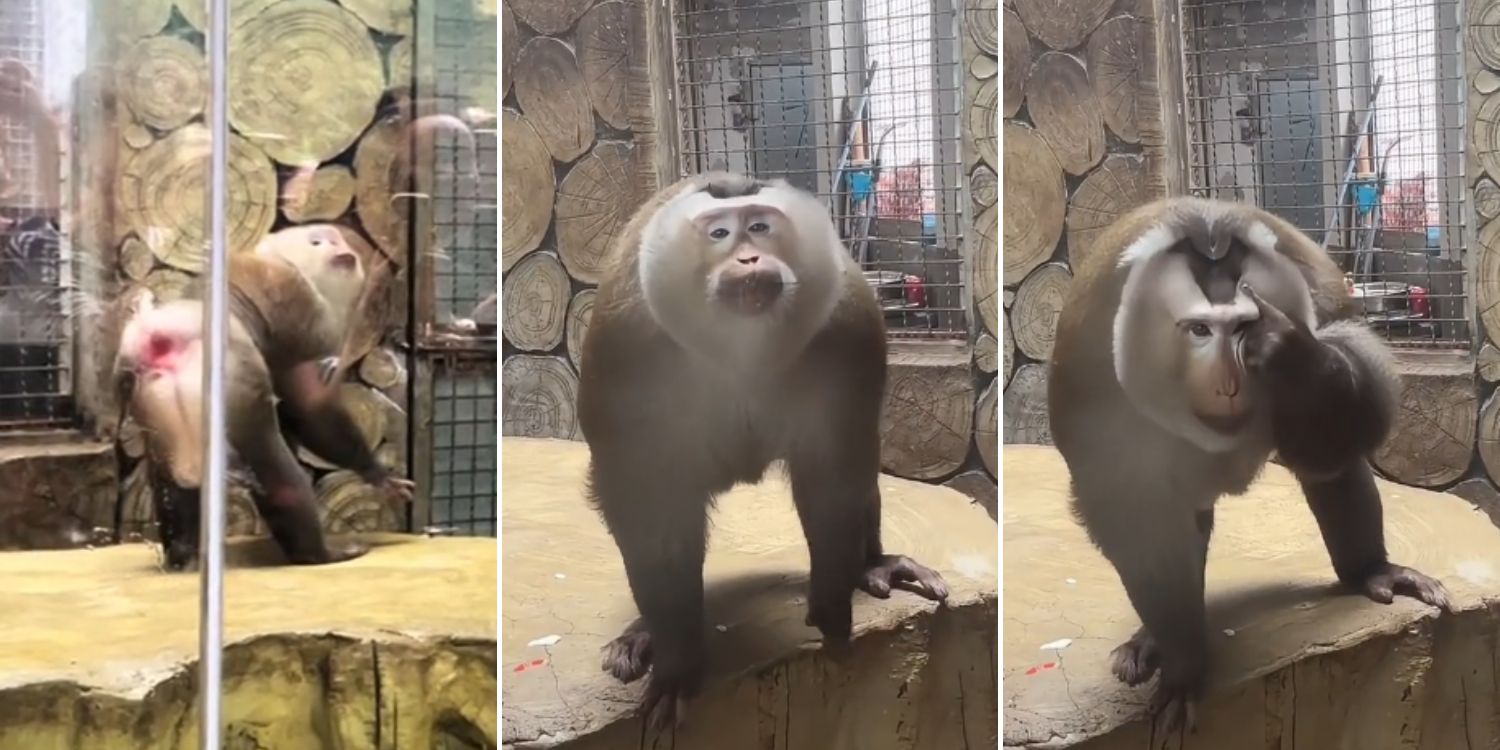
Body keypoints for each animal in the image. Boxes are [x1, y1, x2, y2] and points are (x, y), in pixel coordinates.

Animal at [114, 224, 414, 570]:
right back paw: (316, 553)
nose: (338, 244)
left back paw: (180, 554)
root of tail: (159, 336)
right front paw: (377, 473)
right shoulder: (305, 312)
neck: (280, 259)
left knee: (169, 482)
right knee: (274, 470)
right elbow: (311, 407)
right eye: (317, 241)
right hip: (236, 390)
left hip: (151, 409)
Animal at [576, 172, 951, 729]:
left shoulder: (847, 322)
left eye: (760, 227)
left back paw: (872, 563)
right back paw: (648, 632)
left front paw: (831, 603)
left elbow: (835, 468)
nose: (750, 259)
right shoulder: (626, 341)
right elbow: (644, 496)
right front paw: (679, 660)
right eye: (719, 234)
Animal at [1046, 196, 1451, 732]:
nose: (1228, 383)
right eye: (1200, 330)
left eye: (1243, 327)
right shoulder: (1090, 371)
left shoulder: (1321, 296)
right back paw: (1160, 638)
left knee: (1334, 465)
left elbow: (1338, 432)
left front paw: (1294, 356)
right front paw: (1184, 663)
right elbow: (1135, 511)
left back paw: (1369, 569)